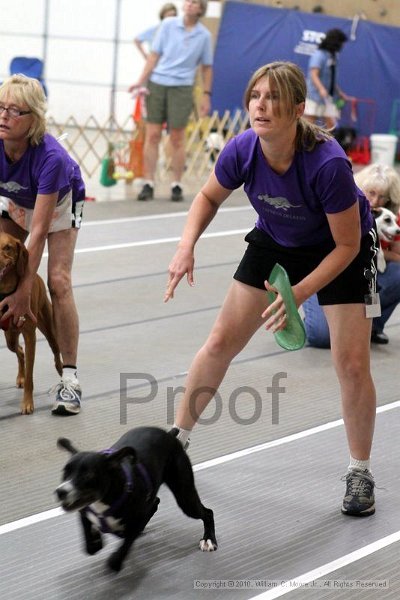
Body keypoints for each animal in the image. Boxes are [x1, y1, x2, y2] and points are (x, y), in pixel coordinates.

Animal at [0, 232, 62, 414]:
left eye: (8, 247)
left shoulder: (30, 335)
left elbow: (30, 375)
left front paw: (27, 403)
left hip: (48, 326)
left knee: (55, 349)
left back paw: (61, 368)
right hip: (10, 337)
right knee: (19, 350)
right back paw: (20, 377)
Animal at [54, 426, 217, 572]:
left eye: (88, 475)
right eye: (65, 472)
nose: (60, 491)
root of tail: (169, 435)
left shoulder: (137, 520)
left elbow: (126, 544)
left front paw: (116, 561)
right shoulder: (84, 512)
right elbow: (89, 545)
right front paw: (96, 542)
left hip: (185, 497)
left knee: (208, 512)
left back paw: (208, 540)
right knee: (155, 503)